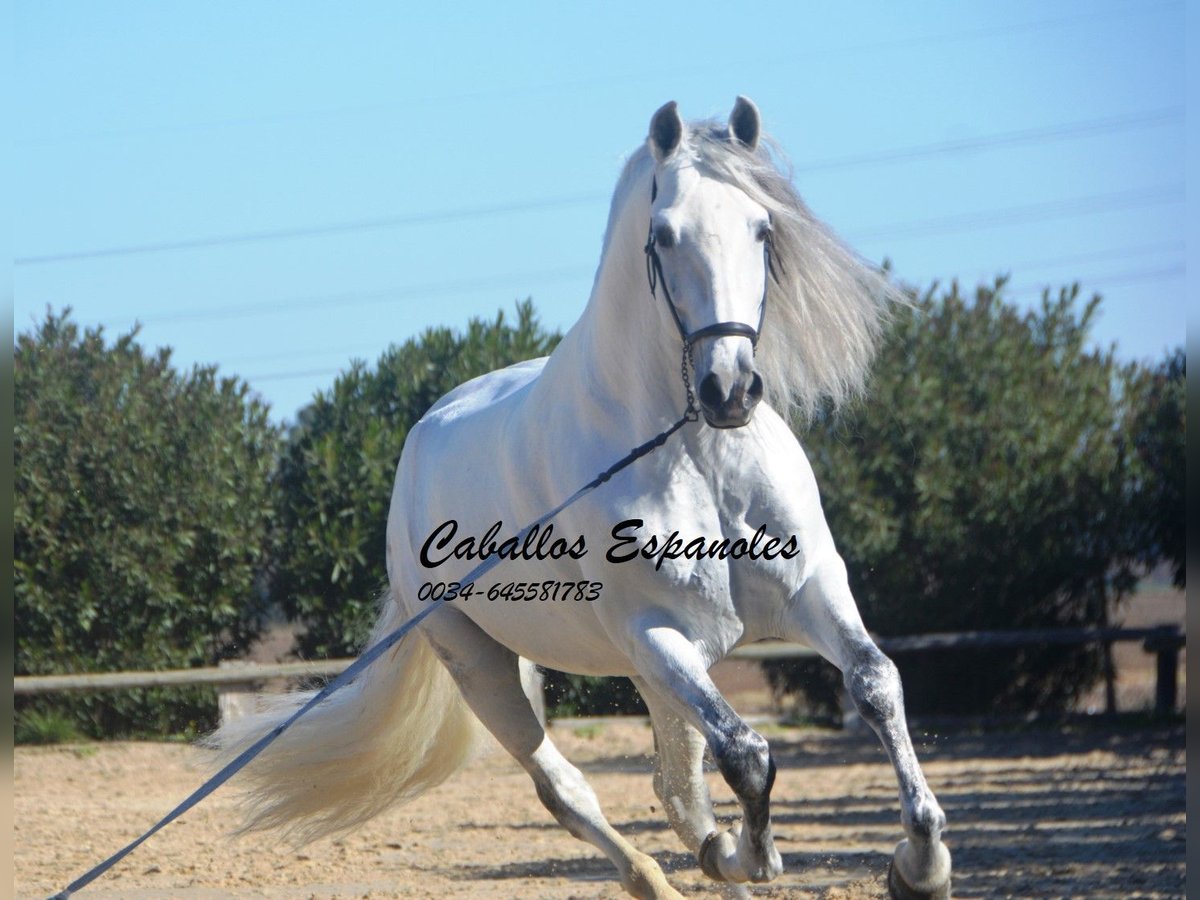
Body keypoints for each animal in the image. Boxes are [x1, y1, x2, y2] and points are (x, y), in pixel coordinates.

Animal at [211, 98, 950, 900]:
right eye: (665, 234)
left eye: (763, 228)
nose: (730, 390)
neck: (694, 452)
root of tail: (420, 443)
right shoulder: (654, 633)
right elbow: (748, 754)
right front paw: (754, 855)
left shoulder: (810, 588)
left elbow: (875, 684)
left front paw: (922, 864)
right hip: (489, 665)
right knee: (569, 789)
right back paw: (667, 874)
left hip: (650, 673)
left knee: (676, 786)